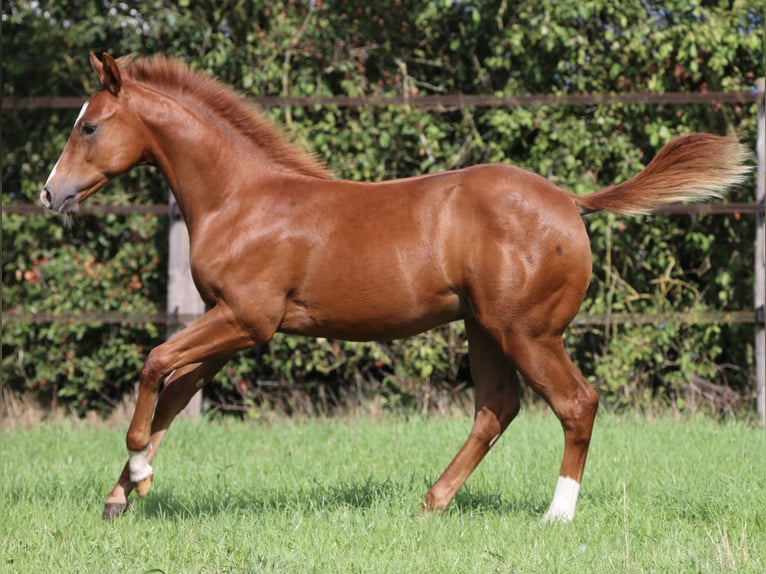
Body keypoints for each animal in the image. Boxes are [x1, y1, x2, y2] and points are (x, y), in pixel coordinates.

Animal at [41, 53, 750, 521]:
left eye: (89, 126)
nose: (49, 194)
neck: (240, 199)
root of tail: (572, 202)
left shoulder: (246, 319)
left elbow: (154, 363)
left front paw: (135, 473)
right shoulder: (227, 324)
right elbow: (172, 394)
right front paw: (121, 495)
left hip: (527, 330)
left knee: (576, 403)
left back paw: (557, 514)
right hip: (484, 328)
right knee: (497, 408)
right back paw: (432, 502)